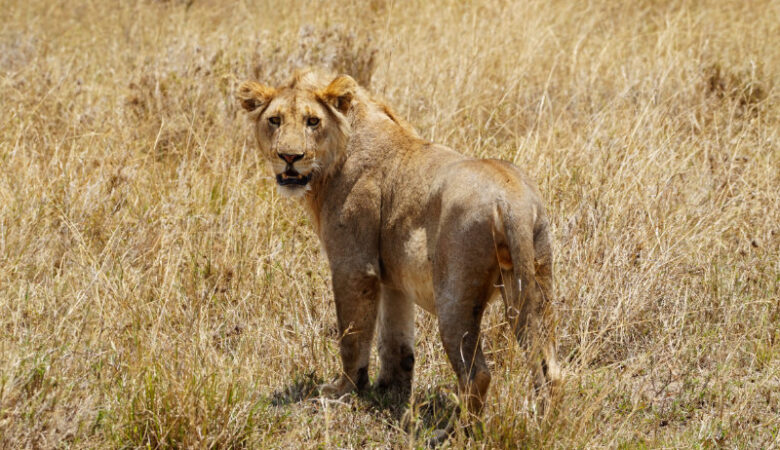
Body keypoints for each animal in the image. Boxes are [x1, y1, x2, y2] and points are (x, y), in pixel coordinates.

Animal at [238, 69, 561, 438]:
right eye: (275, 120)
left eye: (313, 121)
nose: (289, 157)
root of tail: (510, 200)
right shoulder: (393, 278)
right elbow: (396, 341)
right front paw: (389, 391)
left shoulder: (354, 266)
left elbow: (352, 335)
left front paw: (342, 390)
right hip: (533, 282)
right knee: (549, 365)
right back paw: (547, 423)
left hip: (455, 295)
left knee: (477, 373)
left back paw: (456, 433)